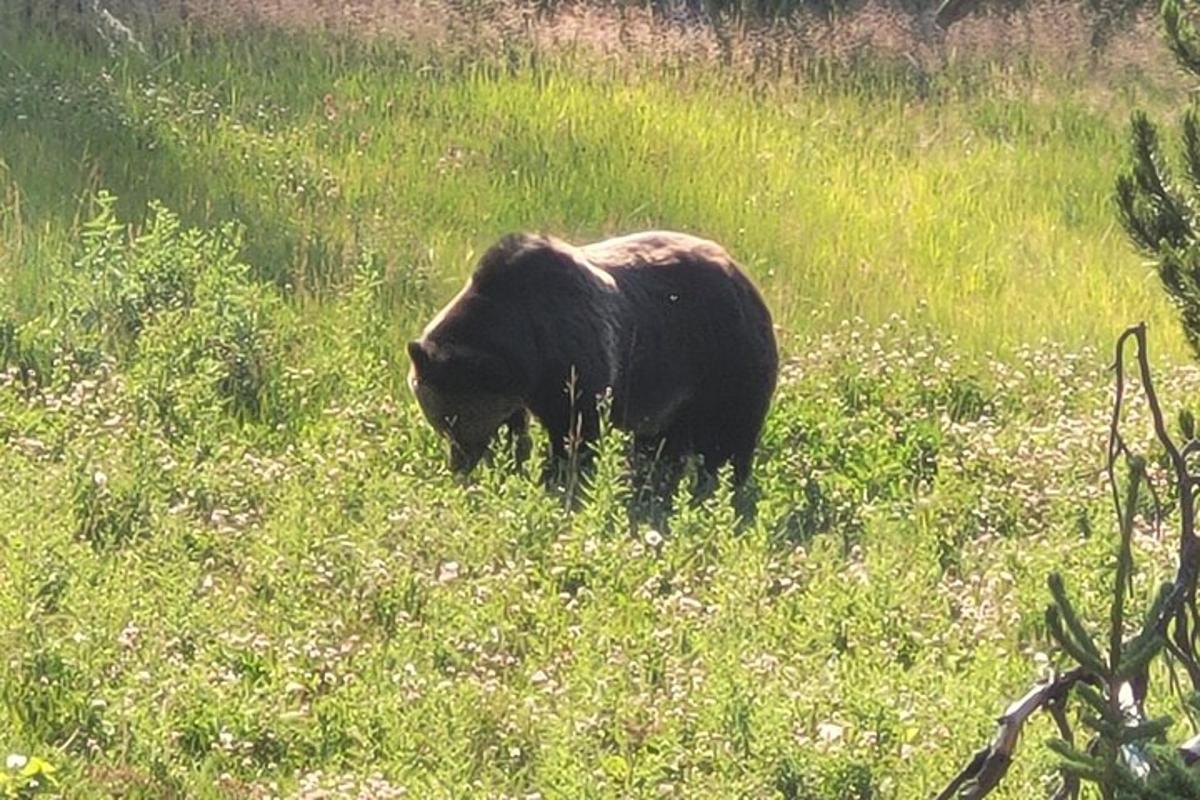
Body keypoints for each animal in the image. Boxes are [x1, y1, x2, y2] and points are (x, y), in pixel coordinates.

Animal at [405, 227, 777, 484]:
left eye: (459, 421)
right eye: (441, 421)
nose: (460, 464)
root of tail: (741, 273)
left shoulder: (575, 361)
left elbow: (576, 426)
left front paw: (560, 471)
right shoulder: (514, 386)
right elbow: (518, 425)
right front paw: (517, 460)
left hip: (723, 356)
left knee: (730, 430)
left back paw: (724, 482)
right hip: (673, 390)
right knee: (663, 440)